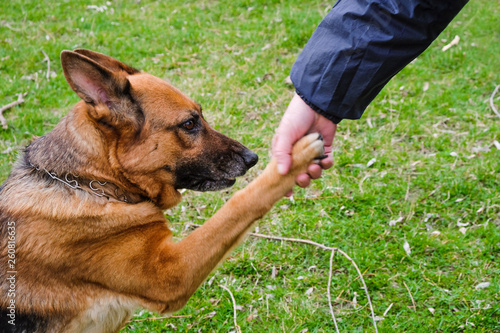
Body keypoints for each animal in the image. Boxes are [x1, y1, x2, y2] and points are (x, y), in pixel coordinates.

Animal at [0, 49, 324, 332]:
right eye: (190, 124)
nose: (252, 158)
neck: (89, 182)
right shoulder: (171, 274)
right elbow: (240, 203)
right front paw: (294, 159)